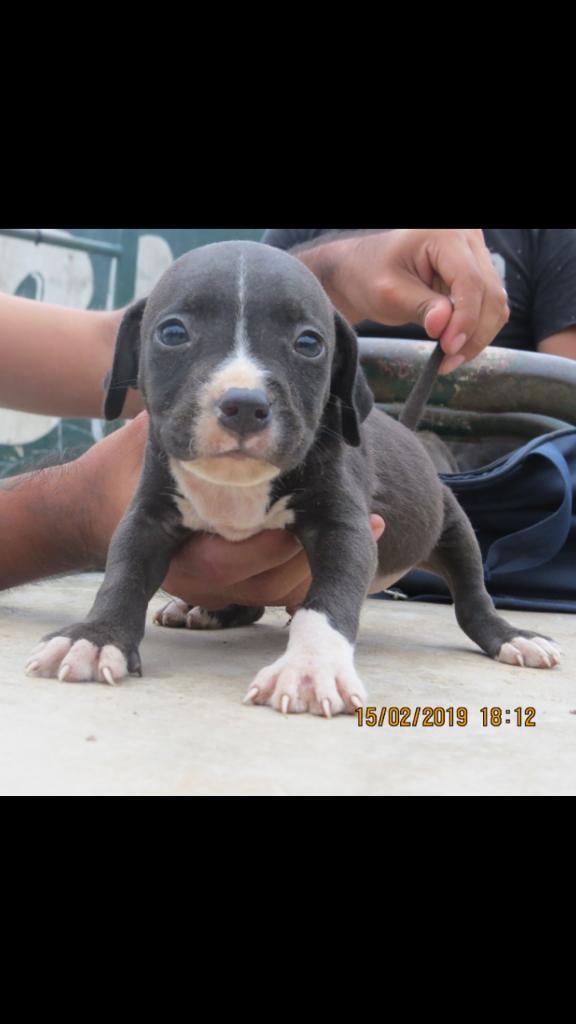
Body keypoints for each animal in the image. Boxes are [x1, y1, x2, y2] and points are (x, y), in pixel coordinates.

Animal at [24, 242, 557, 716]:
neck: (239, 486)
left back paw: (511, 636)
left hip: (452, 525)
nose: (243, 404)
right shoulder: (148, 517)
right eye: (173, 333)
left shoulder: (345, 529)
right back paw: (210, 610)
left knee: (471, 596)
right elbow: (123, 573)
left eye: (309, 344)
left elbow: (327, 601)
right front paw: (96, 637)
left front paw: (310, 667)